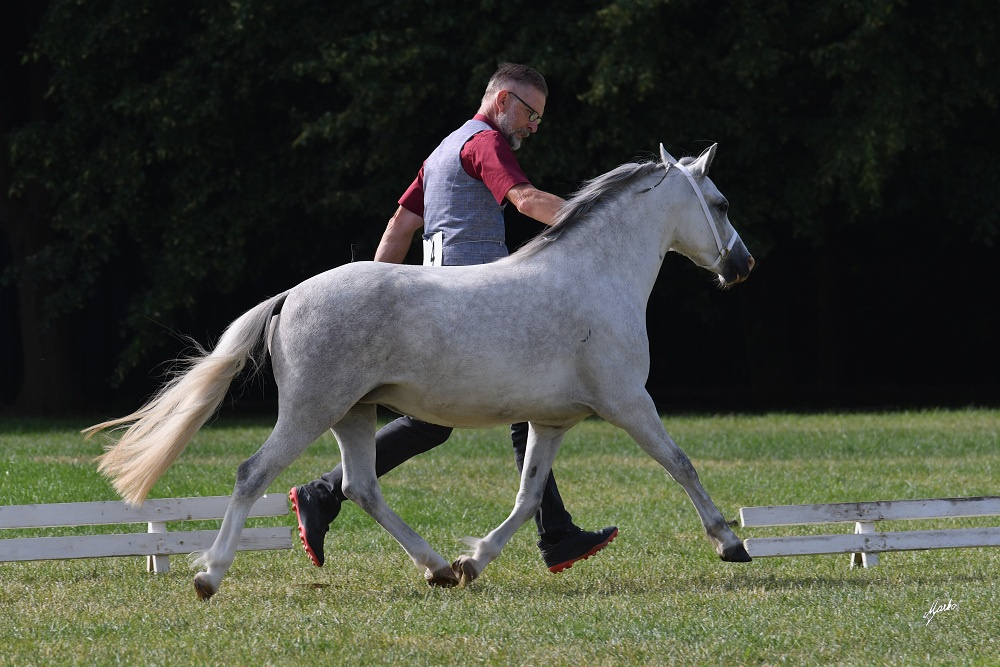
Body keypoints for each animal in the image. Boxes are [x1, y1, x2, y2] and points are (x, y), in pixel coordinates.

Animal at [85, 143, 755, 600]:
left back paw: (434, 567)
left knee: (361, 486)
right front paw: (732, 544)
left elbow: (529, 495)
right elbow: (681, 465)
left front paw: (475, 561)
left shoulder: (552, 421)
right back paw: (209, 576)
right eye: (721, 204)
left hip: (354, 414)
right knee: (254, 474)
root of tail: (292, 295)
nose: (742, 265)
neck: (596, 278)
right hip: (312, 410)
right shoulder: (628, 402)